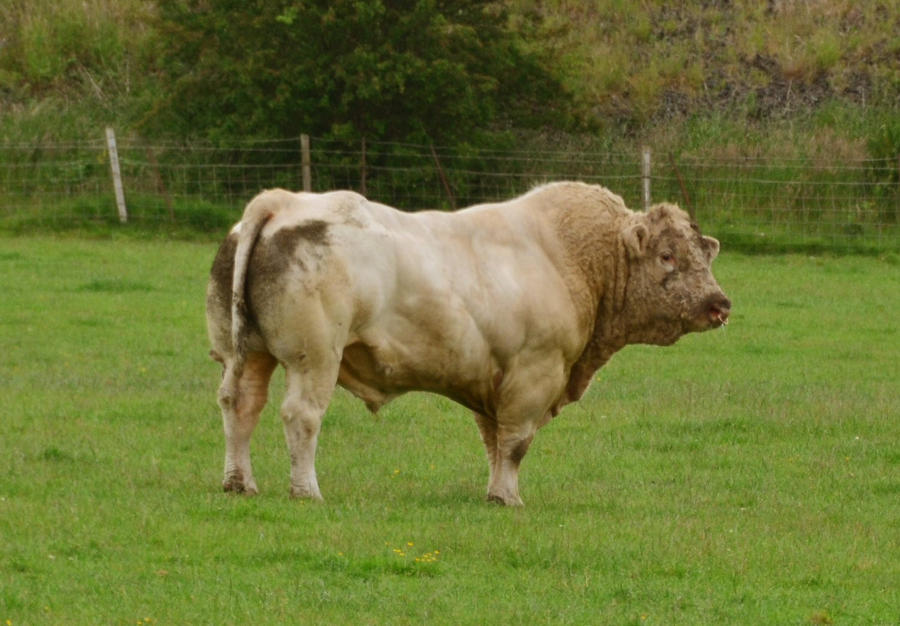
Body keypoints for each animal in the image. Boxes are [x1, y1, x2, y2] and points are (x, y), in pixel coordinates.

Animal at [206, 182, 731, 506]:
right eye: (667, 255)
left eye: (702, 254)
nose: (719, 303)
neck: (573, 260)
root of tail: (283, 202)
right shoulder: (534, 373)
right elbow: (516, 443)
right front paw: (509, 496)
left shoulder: (493, 380)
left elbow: (494, 442)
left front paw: (496, 492)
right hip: (313, 358)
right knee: (301, 416)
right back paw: (306, 490)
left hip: (243, 353)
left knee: (239, 406)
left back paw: (239, 482)